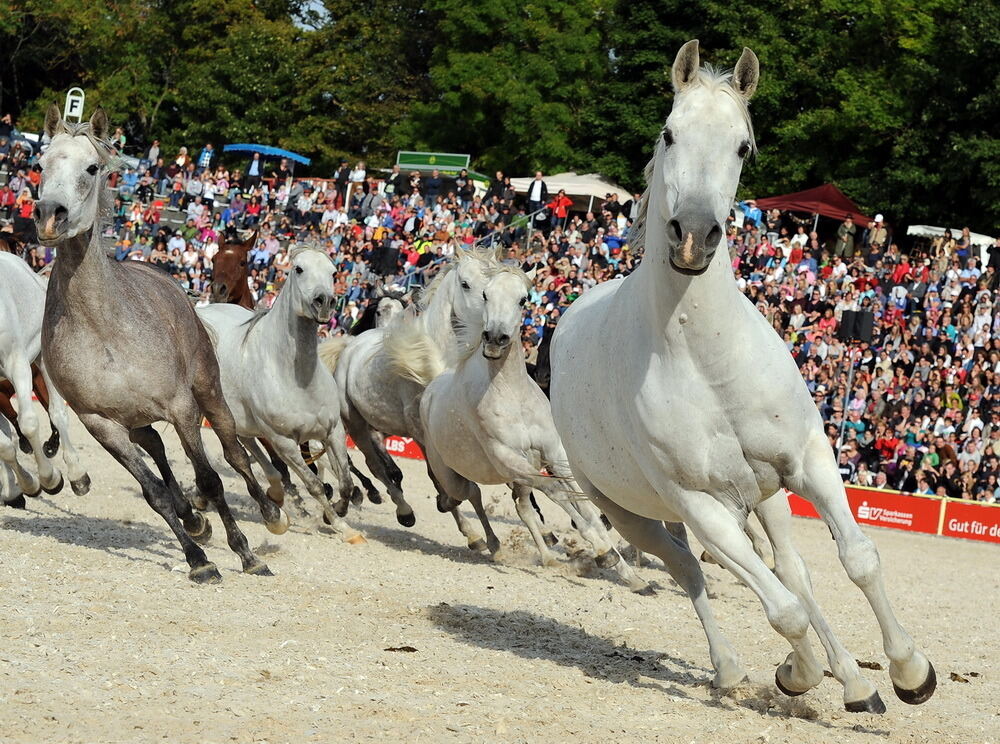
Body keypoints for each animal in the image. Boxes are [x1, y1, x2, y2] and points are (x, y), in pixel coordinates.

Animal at [0, 251, 89, 500]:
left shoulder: (17, 362)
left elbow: (28, 424)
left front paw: (50, 478)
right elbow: (4, 445)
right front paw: (28, 484)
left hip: (42, 359)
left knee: (57, 413)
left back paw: (77, 475)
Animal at [197, 247, 358, 528]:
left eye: (333, 272)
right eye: (299, 269)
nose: (324, 302)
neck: (298, 379)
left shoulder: (334, 431)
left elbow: (346, 482)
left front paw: (337, 512)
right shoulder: (283, 442)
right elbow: (314, 485)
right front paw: (342, 526)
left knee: (246, 443)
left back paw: (274, 492)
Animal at [408, 264, 648, 588]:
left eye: (523, 299)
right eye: (485, 294)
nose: (495, 339)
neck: (512, 395)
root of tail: (431, 391)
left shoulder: (554, 456)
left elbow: (584, 505)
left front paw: (628, 573)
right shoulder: (509, 460)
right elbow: (560, 494)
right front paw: (602, 551)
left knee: (518, 507)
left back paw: (542, 556)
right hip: (454, 474)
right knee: (462, 497)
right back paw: (484, 541)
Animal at [548, 42, 928, 716]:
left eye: (743, 147)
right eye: (669, 133)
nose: (694, 236)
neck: (708, 361)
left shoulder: (808, 459)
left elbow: (856, 559)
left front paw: (909, 673)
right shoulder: (699, 504)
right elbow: (780, 608)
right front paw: (797, 672)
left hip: (765, 495)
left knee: (790, 569)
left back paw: (855, 682)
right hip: (633, 511)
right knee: (692, 571)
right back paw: (734, 671)